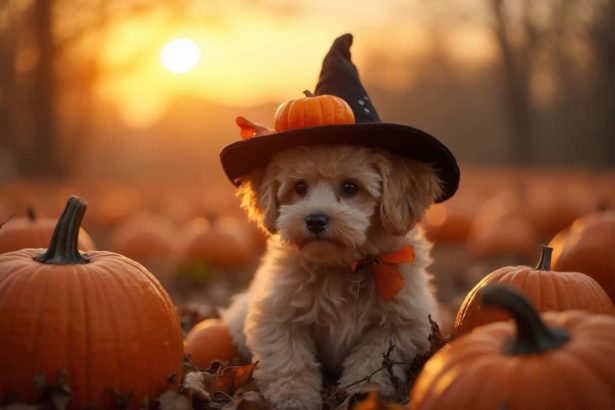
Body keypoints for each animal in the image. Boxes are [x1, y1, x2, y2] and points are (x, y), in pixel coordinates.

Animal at [220, 143, 442, 408]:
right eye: (300, 187)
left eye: (350, 187)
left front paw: (360, 392)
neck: (343, 267)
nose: (315, 220)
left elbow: (372, 358)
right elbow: (290, 361)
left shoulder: (404, 322)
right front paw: (295, 399)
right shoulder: (276, 316)